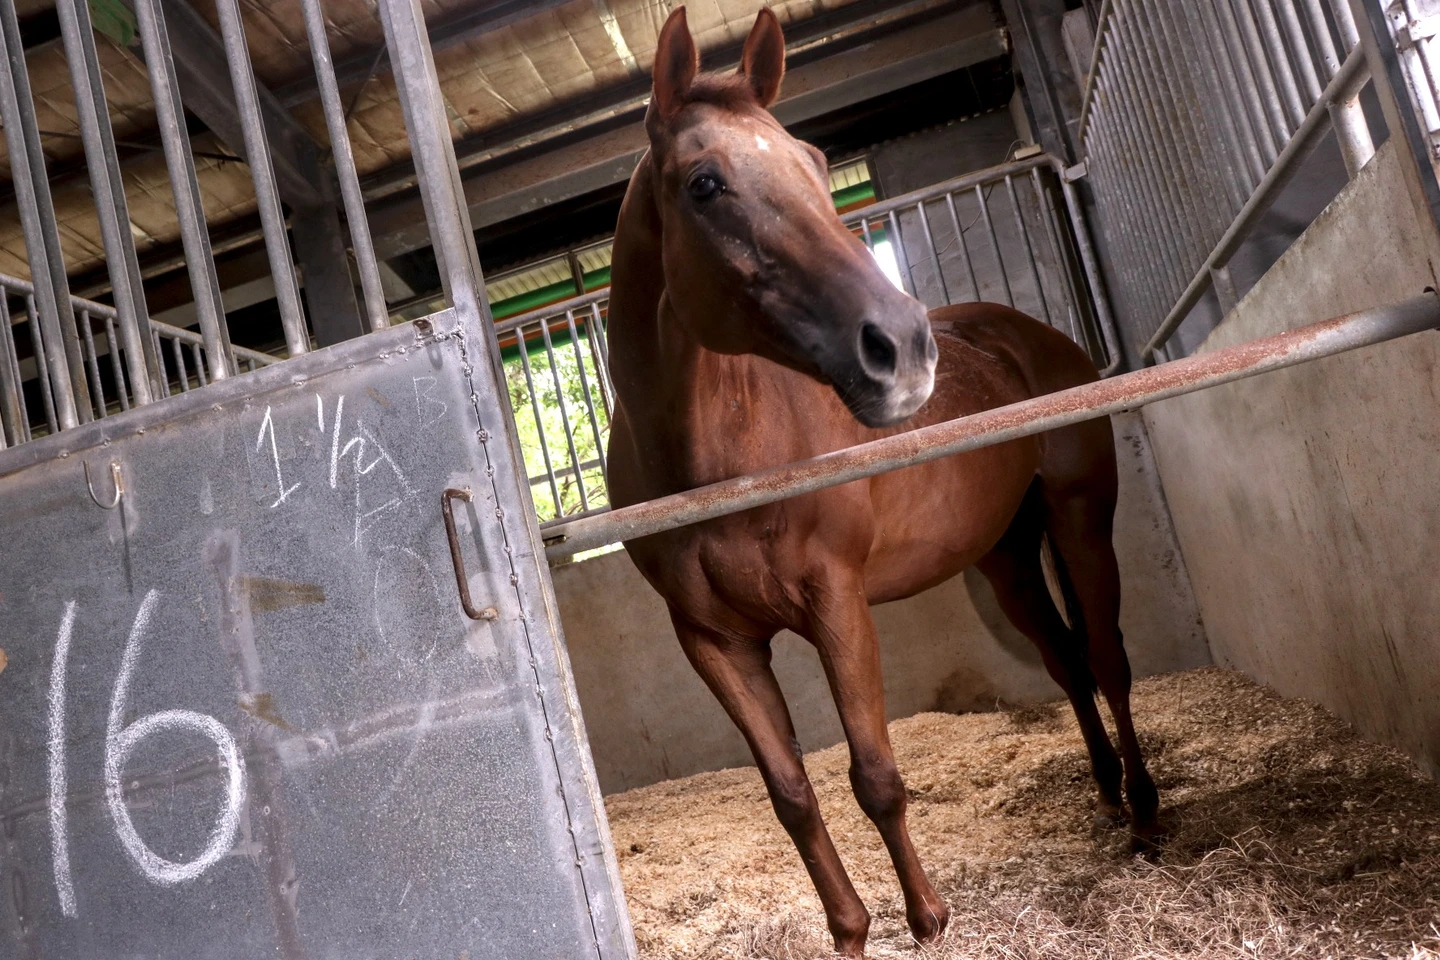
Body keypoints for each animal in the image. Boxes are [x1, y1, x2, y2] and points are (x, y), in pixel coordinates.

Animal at [603, 7, 1159, 955]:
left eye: (816, 165)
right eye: (706, 183)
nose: (900, 345)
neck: (717, 457)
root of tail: (1027, 334)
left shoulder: (837, 601)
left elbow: (876, 775)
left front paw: (929, 918)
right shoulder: (714, 641)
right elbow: (793, 796)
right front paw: (852, 929)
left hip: (1081, 518)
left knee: (1110, 658)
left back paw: (1148, 816)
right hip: (1005, 555)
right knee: (1066, 659)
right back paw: (1109, 793)